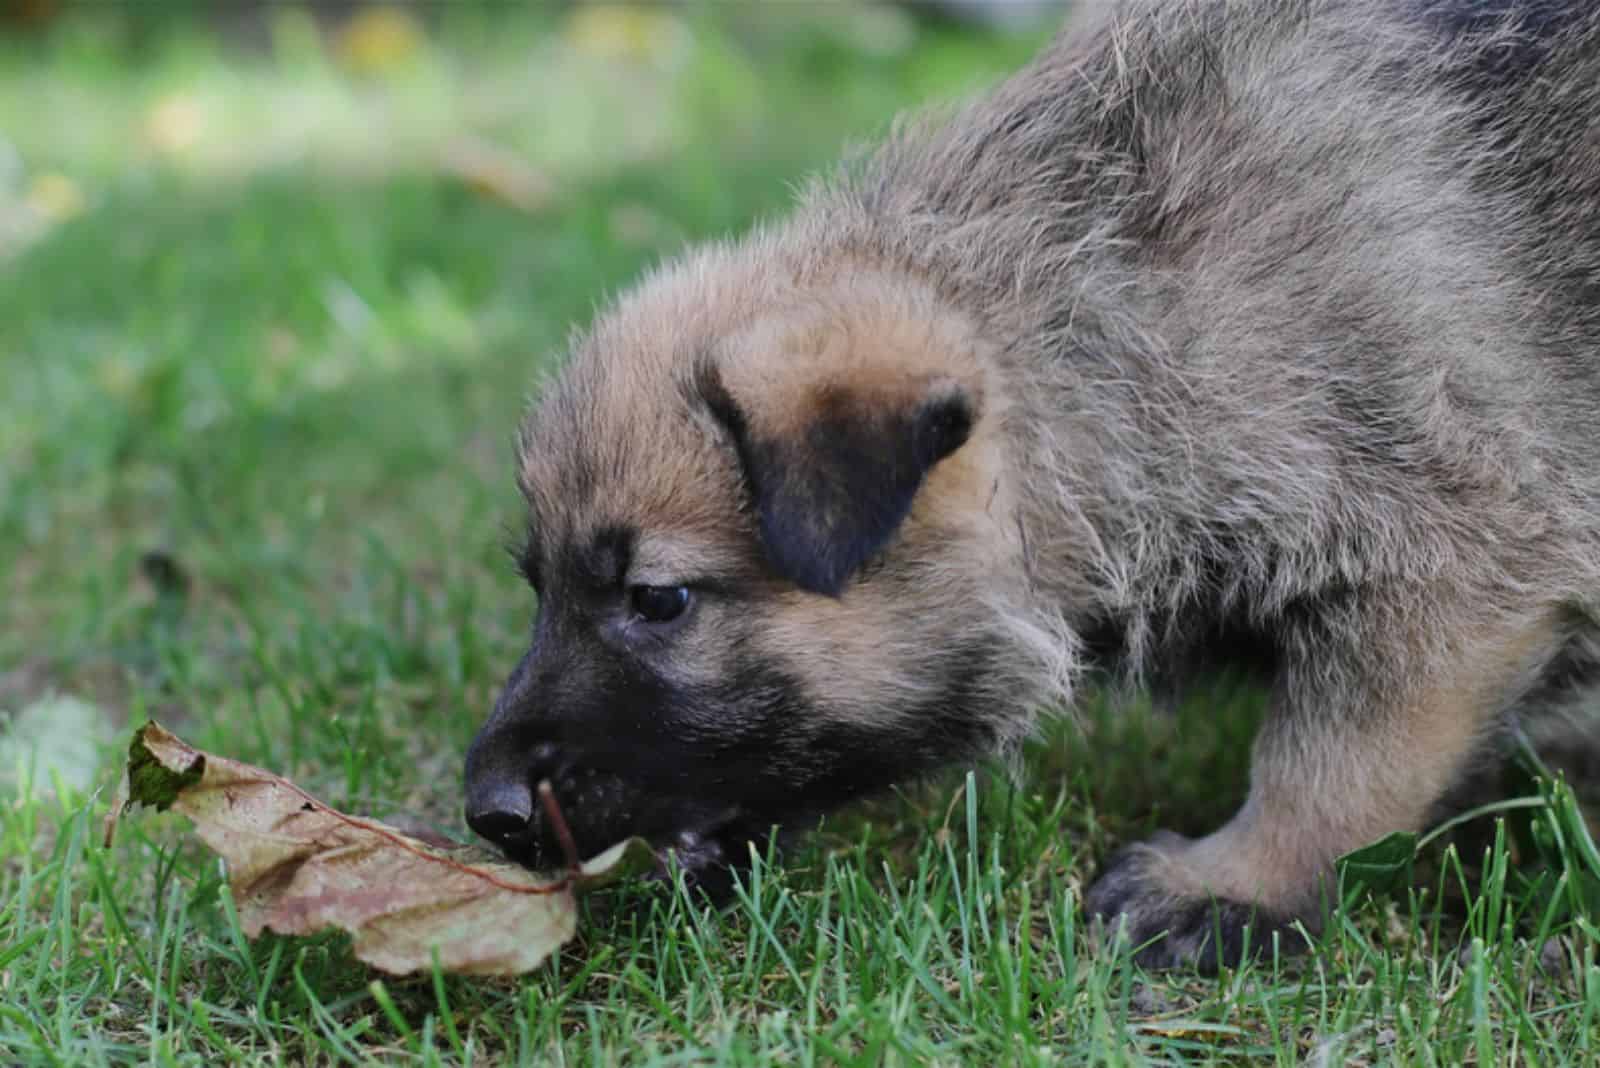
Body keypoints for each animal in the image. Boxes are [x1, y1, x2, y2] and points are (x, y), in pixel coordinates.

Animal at [464, 0, 1600, 965]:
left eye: (659, 600)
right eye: (538, 586)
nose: (488, 811)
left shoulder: (1447, 555)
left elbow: (1336, 761)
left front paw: (1229, 883)